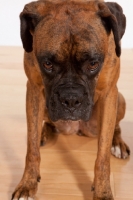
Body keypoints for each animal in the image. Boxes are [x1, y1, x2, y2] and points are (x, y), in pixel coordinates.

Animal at [11, 0, 130, 199]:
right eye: (47, 64)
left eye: (93, 64)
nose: (71, 100)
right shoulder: (33, 90)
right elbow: (32, 147)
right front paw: (28, 183)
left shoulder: (109, 94)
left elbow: (102, 156)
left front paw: (102, 191)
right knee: (46, 124)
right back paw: (44, 133)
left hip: (119, 101)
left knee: (115, 127)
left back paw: (117, 143)